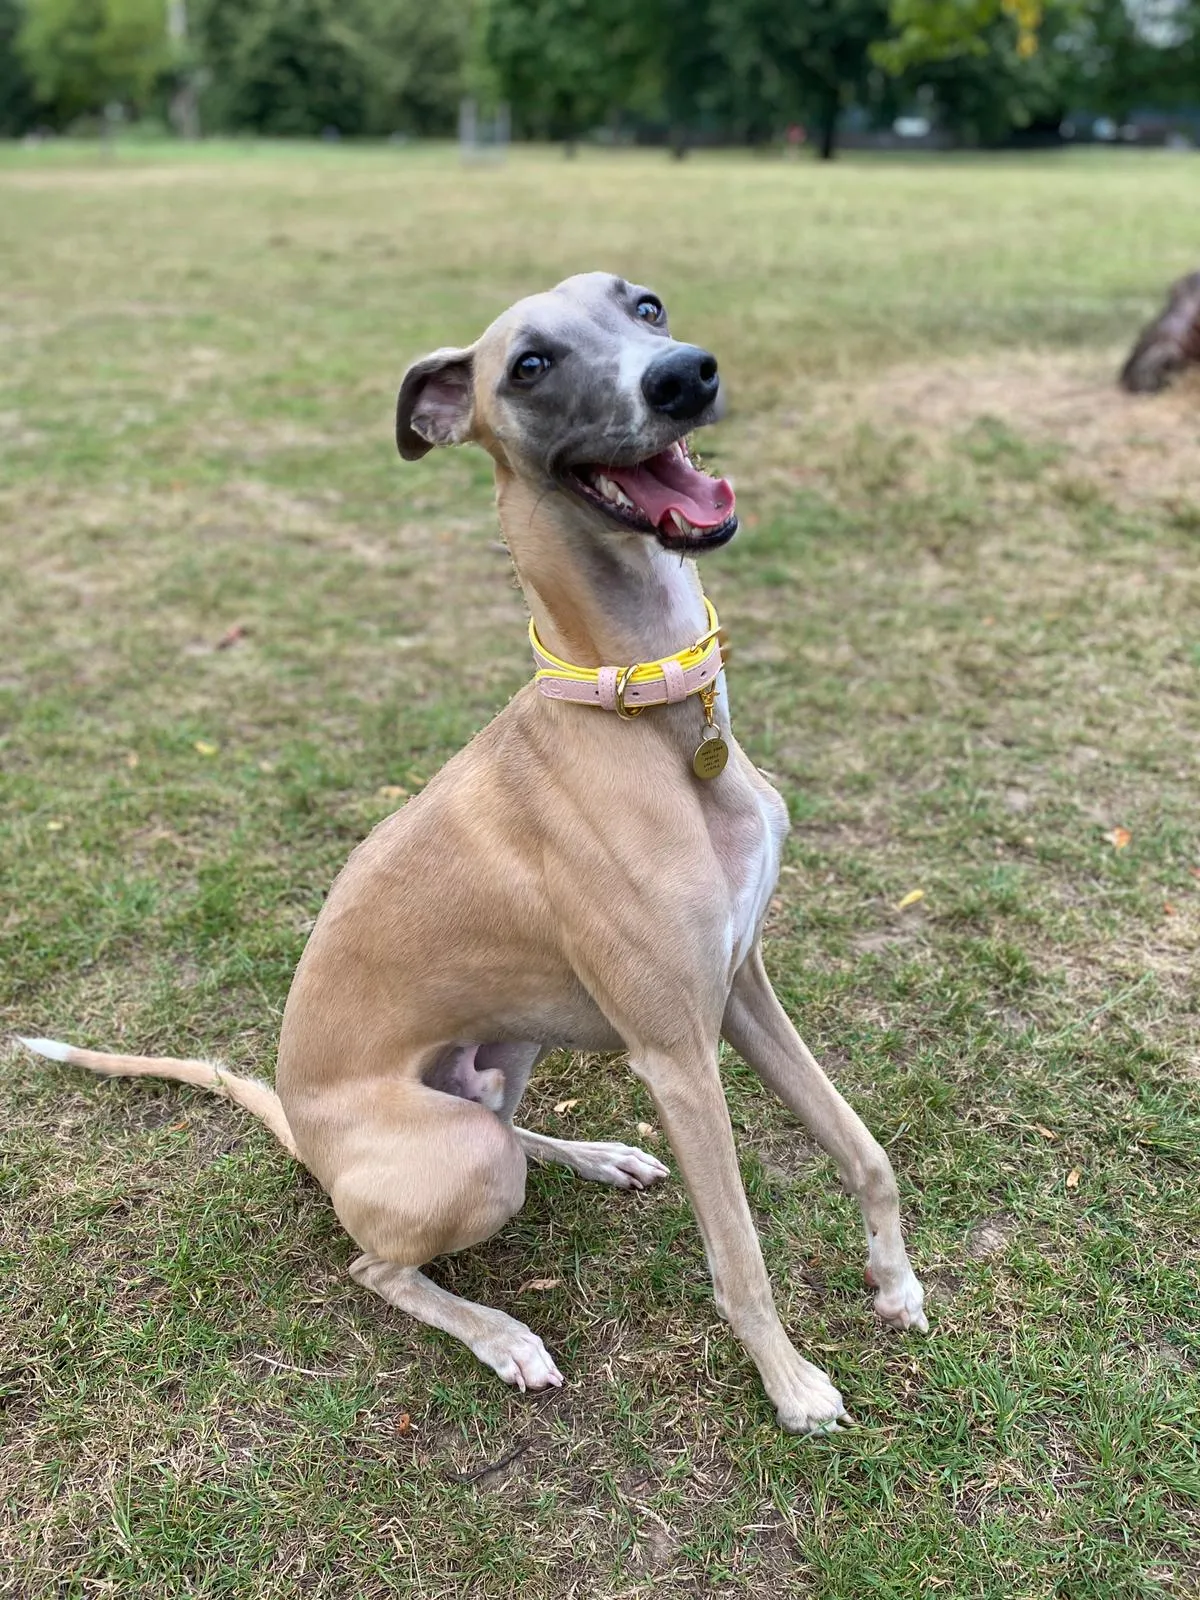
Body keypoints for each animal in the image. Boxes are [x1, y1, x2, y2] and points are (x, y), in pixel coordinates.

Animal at [23, 268, 934, 1433]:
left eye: (645, 304)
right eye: (531, 366)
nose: (686, 376)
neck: (642, 705)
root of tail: (308, 1138)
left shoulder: (738, 985)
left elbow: (864, 1147)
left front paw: (895, 1282)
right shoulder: (677, 1051)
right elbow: (739, 1257)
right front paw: (793, 1385)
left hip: (509, 1056)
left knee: (511, 1135)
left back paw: (601, 1156)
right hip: (463, 1159)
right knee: (378, 1262)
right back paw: (503, 1336)